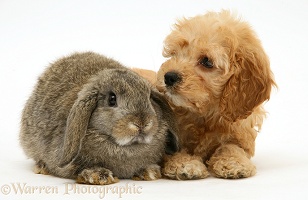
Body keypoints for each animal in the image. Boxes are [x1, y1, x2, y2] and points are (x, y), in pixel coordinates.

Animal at [135, 10, 276, 179]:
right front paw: (185, 164)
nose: (169, 76)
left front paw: (234, 163)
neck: (205, 116)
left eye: (207, 62)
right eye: (174, 54)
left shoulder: (240, 135)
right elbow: (172, 151)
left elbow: (231, 147)